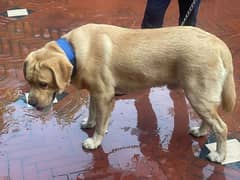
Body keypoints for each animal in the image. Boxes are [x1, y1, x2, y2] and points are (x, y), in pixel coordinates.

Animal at [23, 23, 236, 163]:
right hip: (199, 96)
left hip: (196, 95)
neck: (74, 52)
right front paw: (90, 123)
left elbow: (100, 123)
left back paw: (220, 155)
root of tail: (219, 43)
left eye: (43, 84)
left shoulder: (104, 94)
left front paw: (95, 141)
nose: (30, 103)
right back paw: (200, 132)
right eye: (29, 82)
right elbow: (93, 112)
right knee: (209, 120)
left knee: (221, 127)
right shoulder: (96, 93)